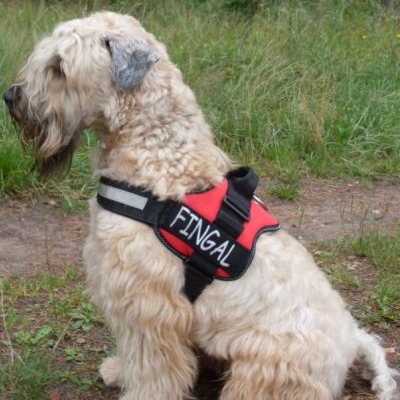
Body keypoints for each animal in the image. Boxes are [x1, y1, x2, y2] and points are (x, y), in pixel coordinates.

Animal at [3, 10, 400, 398]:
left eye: (59, 66)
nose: (10, 96)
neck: (159, 152)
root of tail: (351, 341)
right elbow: (134, 358)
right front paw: (119, 370)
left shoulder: (150, 307)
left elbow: (152, 371)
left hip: (267, 361)